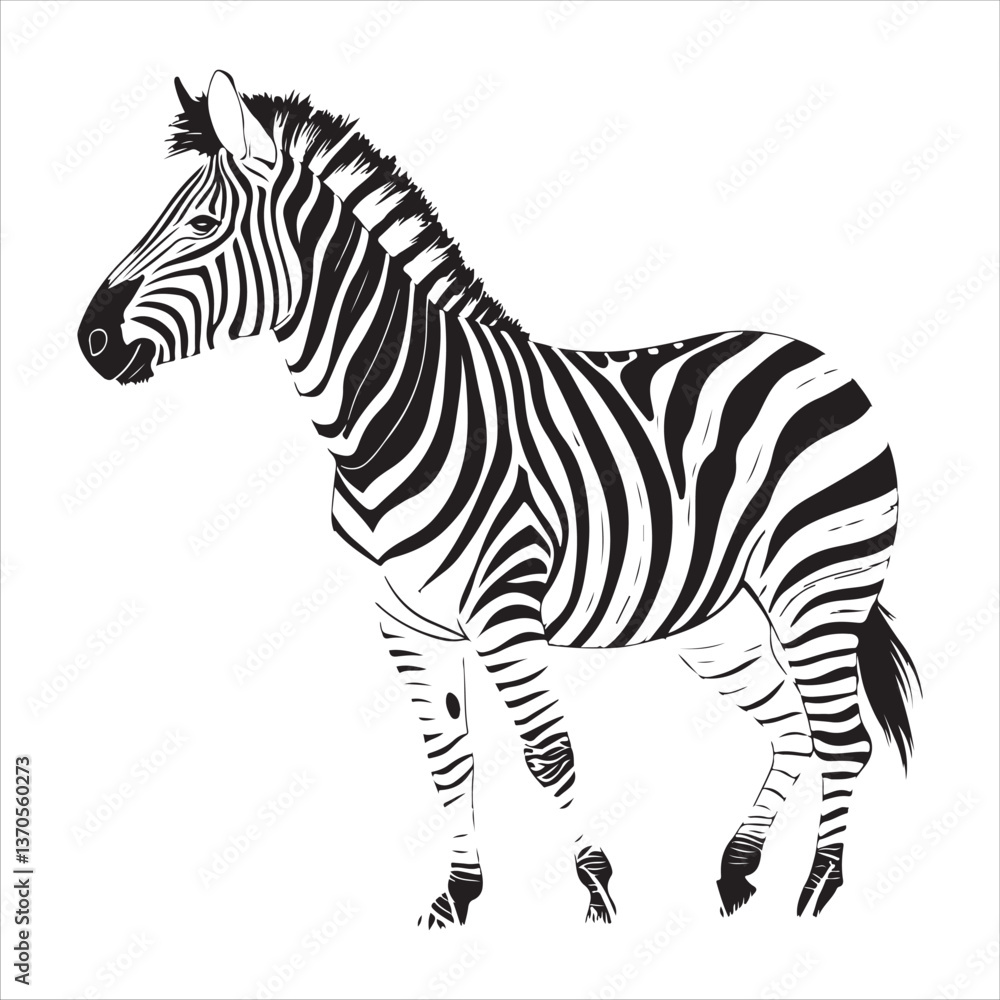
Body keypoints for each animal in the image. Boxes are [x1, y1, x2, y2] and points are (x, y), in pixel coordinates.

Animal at [77, 71, 920, 926]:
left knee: (842, 738)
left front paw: (596, 892)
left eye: (203, 224)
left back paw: (816, 891)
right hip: (715, 621)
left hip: (819, 587)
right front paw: (457, 895)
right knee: (791, 729)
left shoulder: (505, 607)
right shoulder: (406, 620)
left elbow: (548, 756)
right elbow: (447, 757)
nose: (91, 340)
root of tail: (816, 358)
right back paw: (739, 868)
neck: (397, 411)